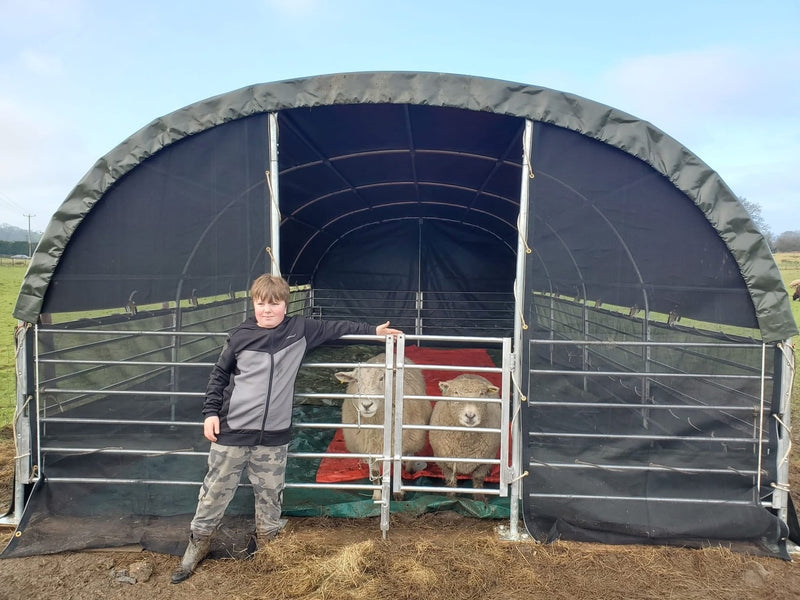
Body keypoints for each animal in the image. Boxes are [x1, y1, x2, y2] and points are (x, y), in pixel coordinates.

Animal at [334, 354, 432, 500]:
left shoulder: (397, 443)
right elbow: (374, 473)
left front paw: (399, 492)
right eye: (356, 380)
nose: (367, 405)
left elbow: (395, 467)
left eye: (381, 378)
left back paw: (409, 466)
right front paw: (377, 495)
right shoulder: (369, 446)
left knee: (410, 453)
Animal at [432, 372, 500, 504]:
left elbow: (478, 478)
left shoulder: (486, 460)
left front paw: (480, 500)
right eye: (456, 392)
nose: (470, 415)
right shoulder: (443, 461)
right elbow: (451, 480)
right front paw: (451, 499)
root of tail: (470, 373)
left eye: (482, 393)